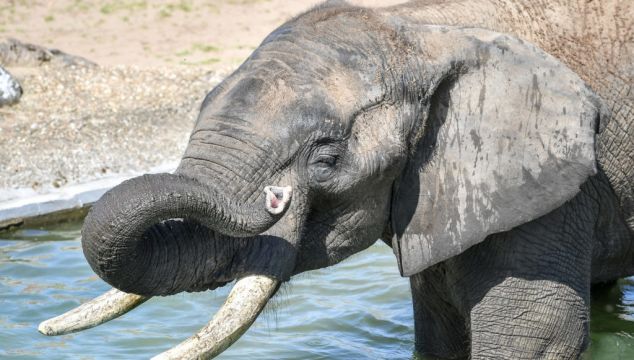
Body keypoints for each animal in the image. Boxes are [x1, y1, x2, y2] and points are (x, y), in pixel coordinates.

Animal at [39, 0, 632, 358]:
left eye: (325, 157)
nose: (276, 199)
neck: (421, 28)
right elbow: (437, 332)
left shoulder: (546, 186)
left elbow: (535, 337)